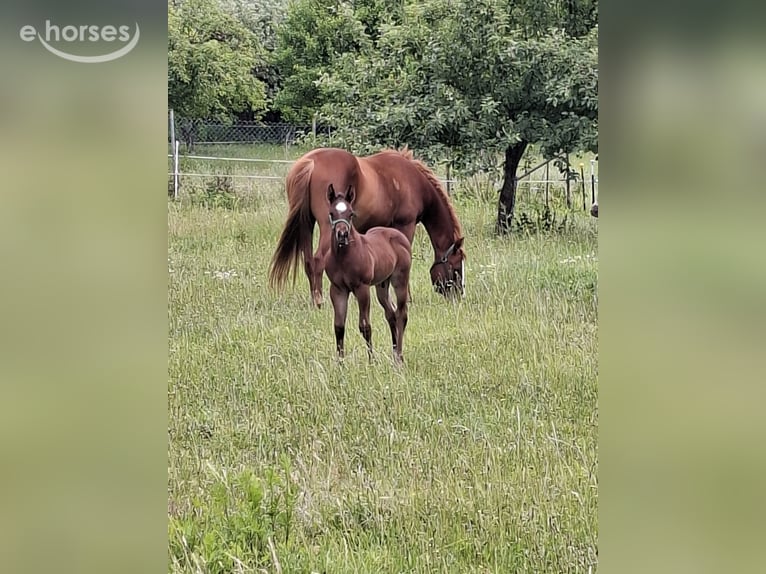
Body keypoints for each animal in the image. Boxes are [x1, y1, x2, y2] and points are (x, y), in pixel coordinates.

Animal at [268, 147, 465, 307]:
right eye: (456, 268)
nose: (458, 296)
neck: (413, 181)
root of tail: (311, 163)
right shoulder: (405, 225)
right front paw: (406, 298)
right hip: (326, 227)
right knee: (317, 261)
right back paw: (319, 302)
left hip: (307, 224)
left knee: (309, 261)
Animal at [323, 183, 412, 363]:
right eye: (331, 213)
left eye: (351, 214)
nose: (342, 235)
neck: (343, 258)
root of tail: (399, 235)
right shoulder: (337, 290)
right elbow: (339, 327)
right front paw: (340, 364)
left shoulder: (362, 288)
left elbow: (365, 326)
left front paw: (372, 361)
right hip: (382, 285)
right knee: (391, 314)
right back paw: (394, 353)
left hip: (400, 280)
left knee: (401, 314)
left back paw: (399, 357)